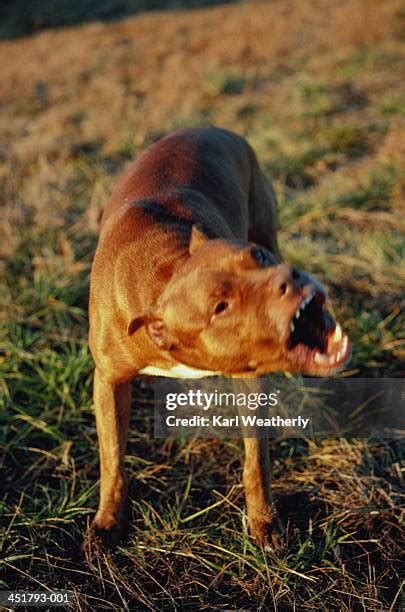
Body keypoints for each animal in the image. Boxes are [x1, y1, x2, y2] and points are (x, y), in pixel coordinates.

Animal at [89, 126, 350, 548]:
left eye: (257, 257)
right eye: (220, 307)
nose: (290, 276)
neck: (167, 271)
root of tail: (209, 126)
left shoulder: (249, 380)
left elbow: (255, 460)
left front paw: (264, 523)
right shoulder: (108, 381)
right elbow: (112, 458)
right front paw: (109, 520)